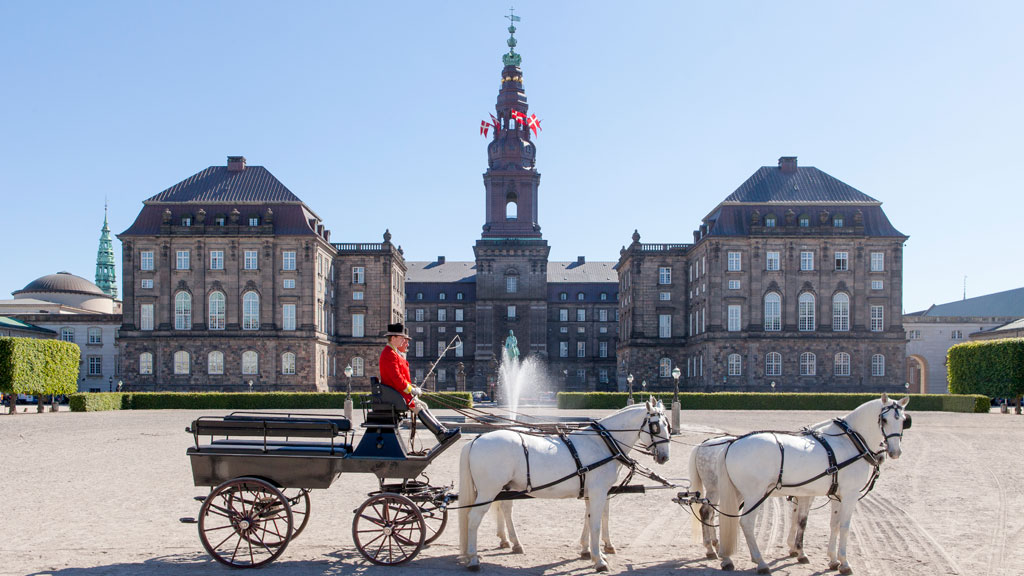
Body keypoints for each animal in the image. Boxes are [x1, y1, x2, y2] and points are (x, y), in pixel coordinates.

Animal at [458, 399, 671, 569]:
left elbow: (590, 518)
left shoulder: (591, 492)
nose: (664, 457)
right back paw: (473, 558)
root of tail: (476, 439)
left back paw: (512, 543)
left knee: (504, 508)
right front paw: (599, 560)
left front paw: (588, 550)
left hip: (506, 487)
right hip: (488, 491)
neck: (602, 443)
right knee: (473, 518)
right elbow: (596, 523)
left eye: (668, 425)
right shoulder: (599, 492)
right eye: (655, 427)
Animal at [716, 391, 909, 569]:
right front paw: (844, 562)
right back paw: (760, 562)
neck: (849, 441)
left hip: (738, 493)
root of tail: (732, 443)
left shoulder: (836, 495)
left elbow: (834, 525)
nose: (895, 452)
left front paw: (833, 559)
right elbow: (845, 526)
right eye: (884, 420)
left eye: (903, 420)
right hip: (755, 495)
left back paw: (727, 557)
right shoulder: (850, 494)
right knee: (746, 523)